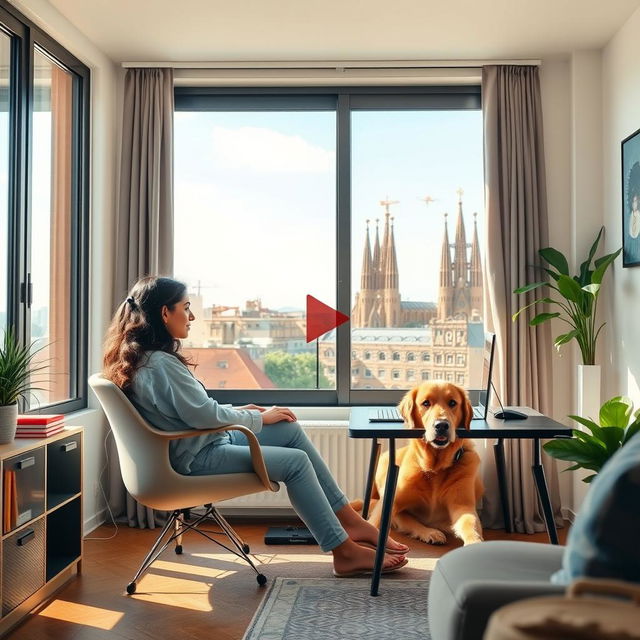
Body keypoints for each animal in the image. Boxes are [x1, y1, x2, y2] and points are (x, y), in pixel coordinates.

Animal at [364, 382, 480, 548]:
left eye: (452, 403)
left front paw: (475, 542)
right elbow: (376, 522)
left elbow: (470, 523)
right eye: (426, 403)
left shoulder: (463, 504)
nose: (441, 425)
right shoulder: (391, 501)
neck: (435, 468)